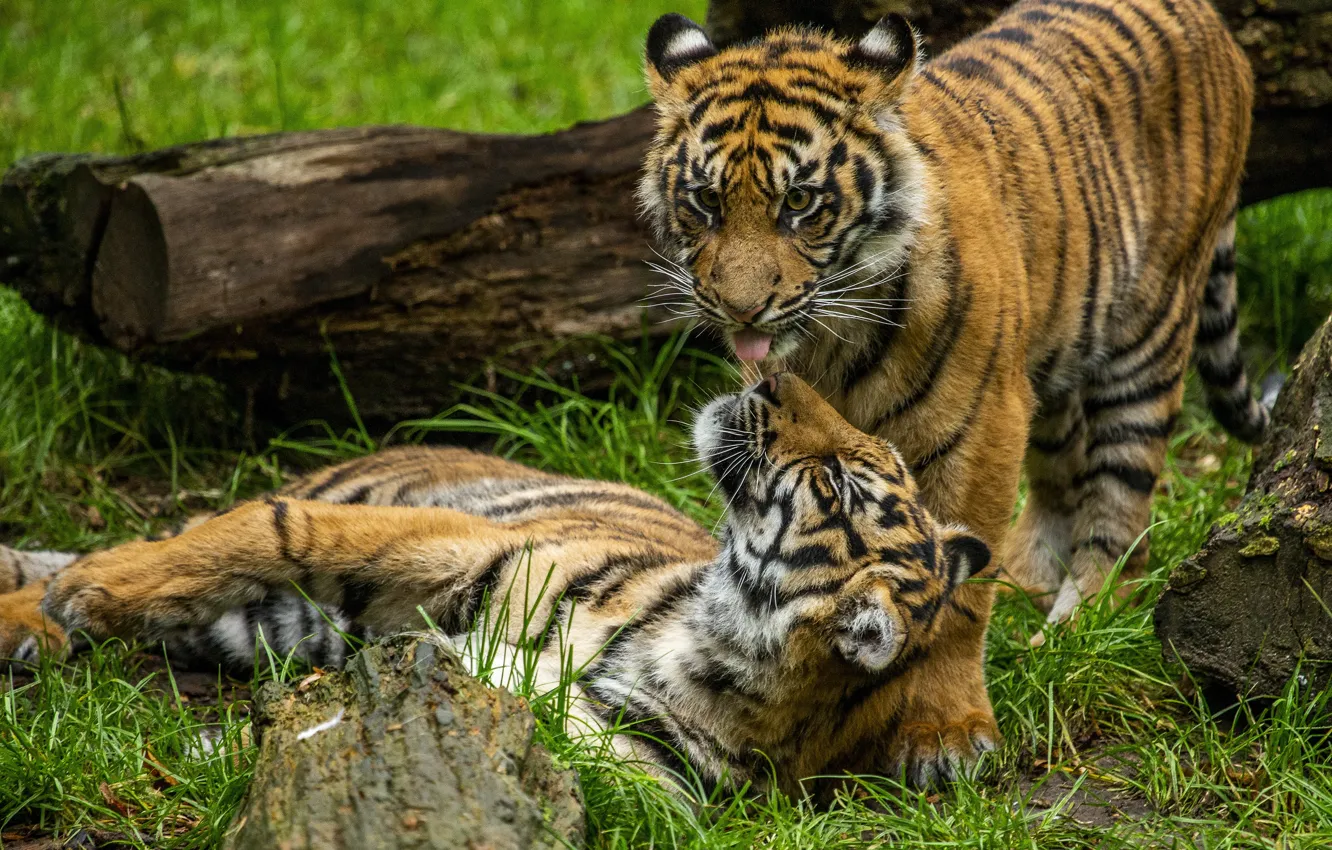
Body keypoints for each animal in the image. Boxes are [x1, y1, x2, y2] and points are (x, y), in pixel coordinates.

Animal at [0, 373, 992, 792]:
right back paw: (41, 619)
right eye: (869, 461)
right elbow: (267, 533)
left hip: (251, 625)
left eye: (836, 483)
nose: (773, 376)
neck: (705, 642)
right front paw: (87, 594)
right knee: (169, 538)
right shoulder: (458, 543)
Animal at [637, 0, 1269, 755]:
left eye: (801, 203)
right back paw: (1027, 586)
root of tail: (1210, 19)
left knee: (1122, 507)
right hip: (1052, 360)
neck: (830, 338)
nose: (740, 308)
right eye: (705, 201)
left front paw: (948, 731)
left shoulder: (980, 426)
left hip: (1150, 331)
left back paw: (1074, 629)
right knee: (1059, 479)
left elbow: (954, 593)